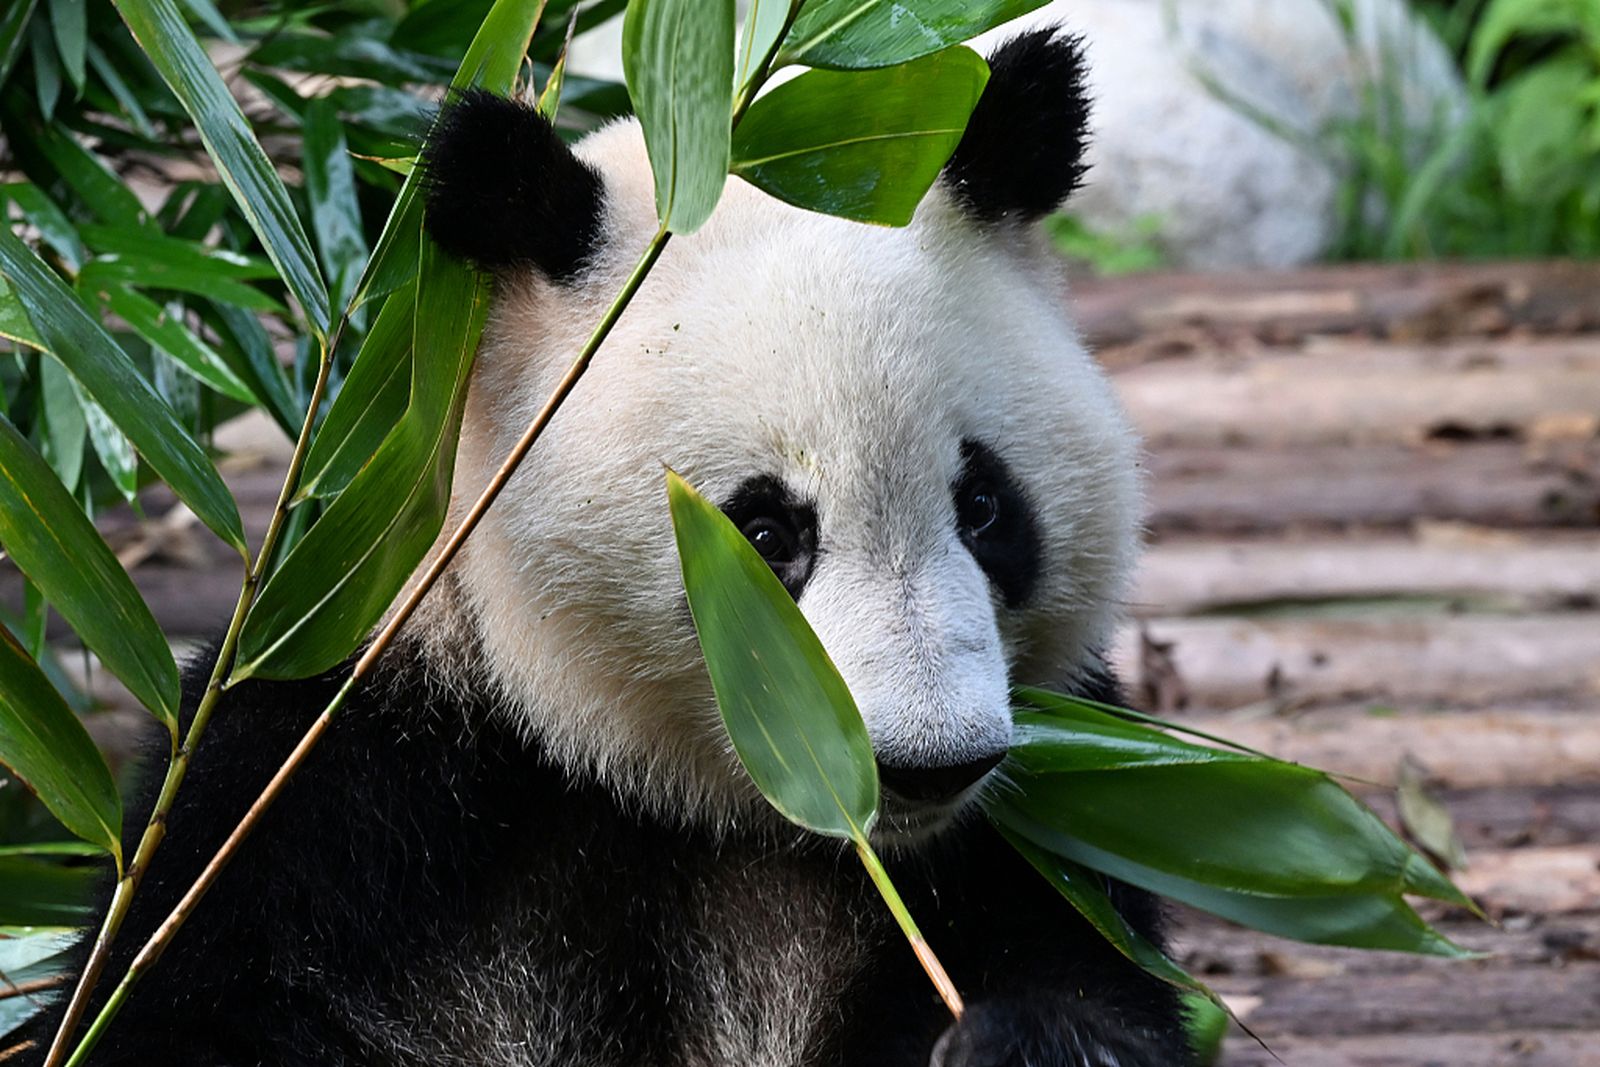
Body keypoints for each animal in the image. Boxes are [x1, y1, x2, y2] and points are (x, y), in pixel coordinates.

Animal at [24, 29, 1194, 1067]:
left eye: (985, 508)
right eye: (764, 532)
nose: (923, 763)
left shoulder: (1035, 832)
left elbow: (1079, 967)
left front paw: (1036, 1041)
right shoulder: (345, 784)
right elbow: (180, 997)